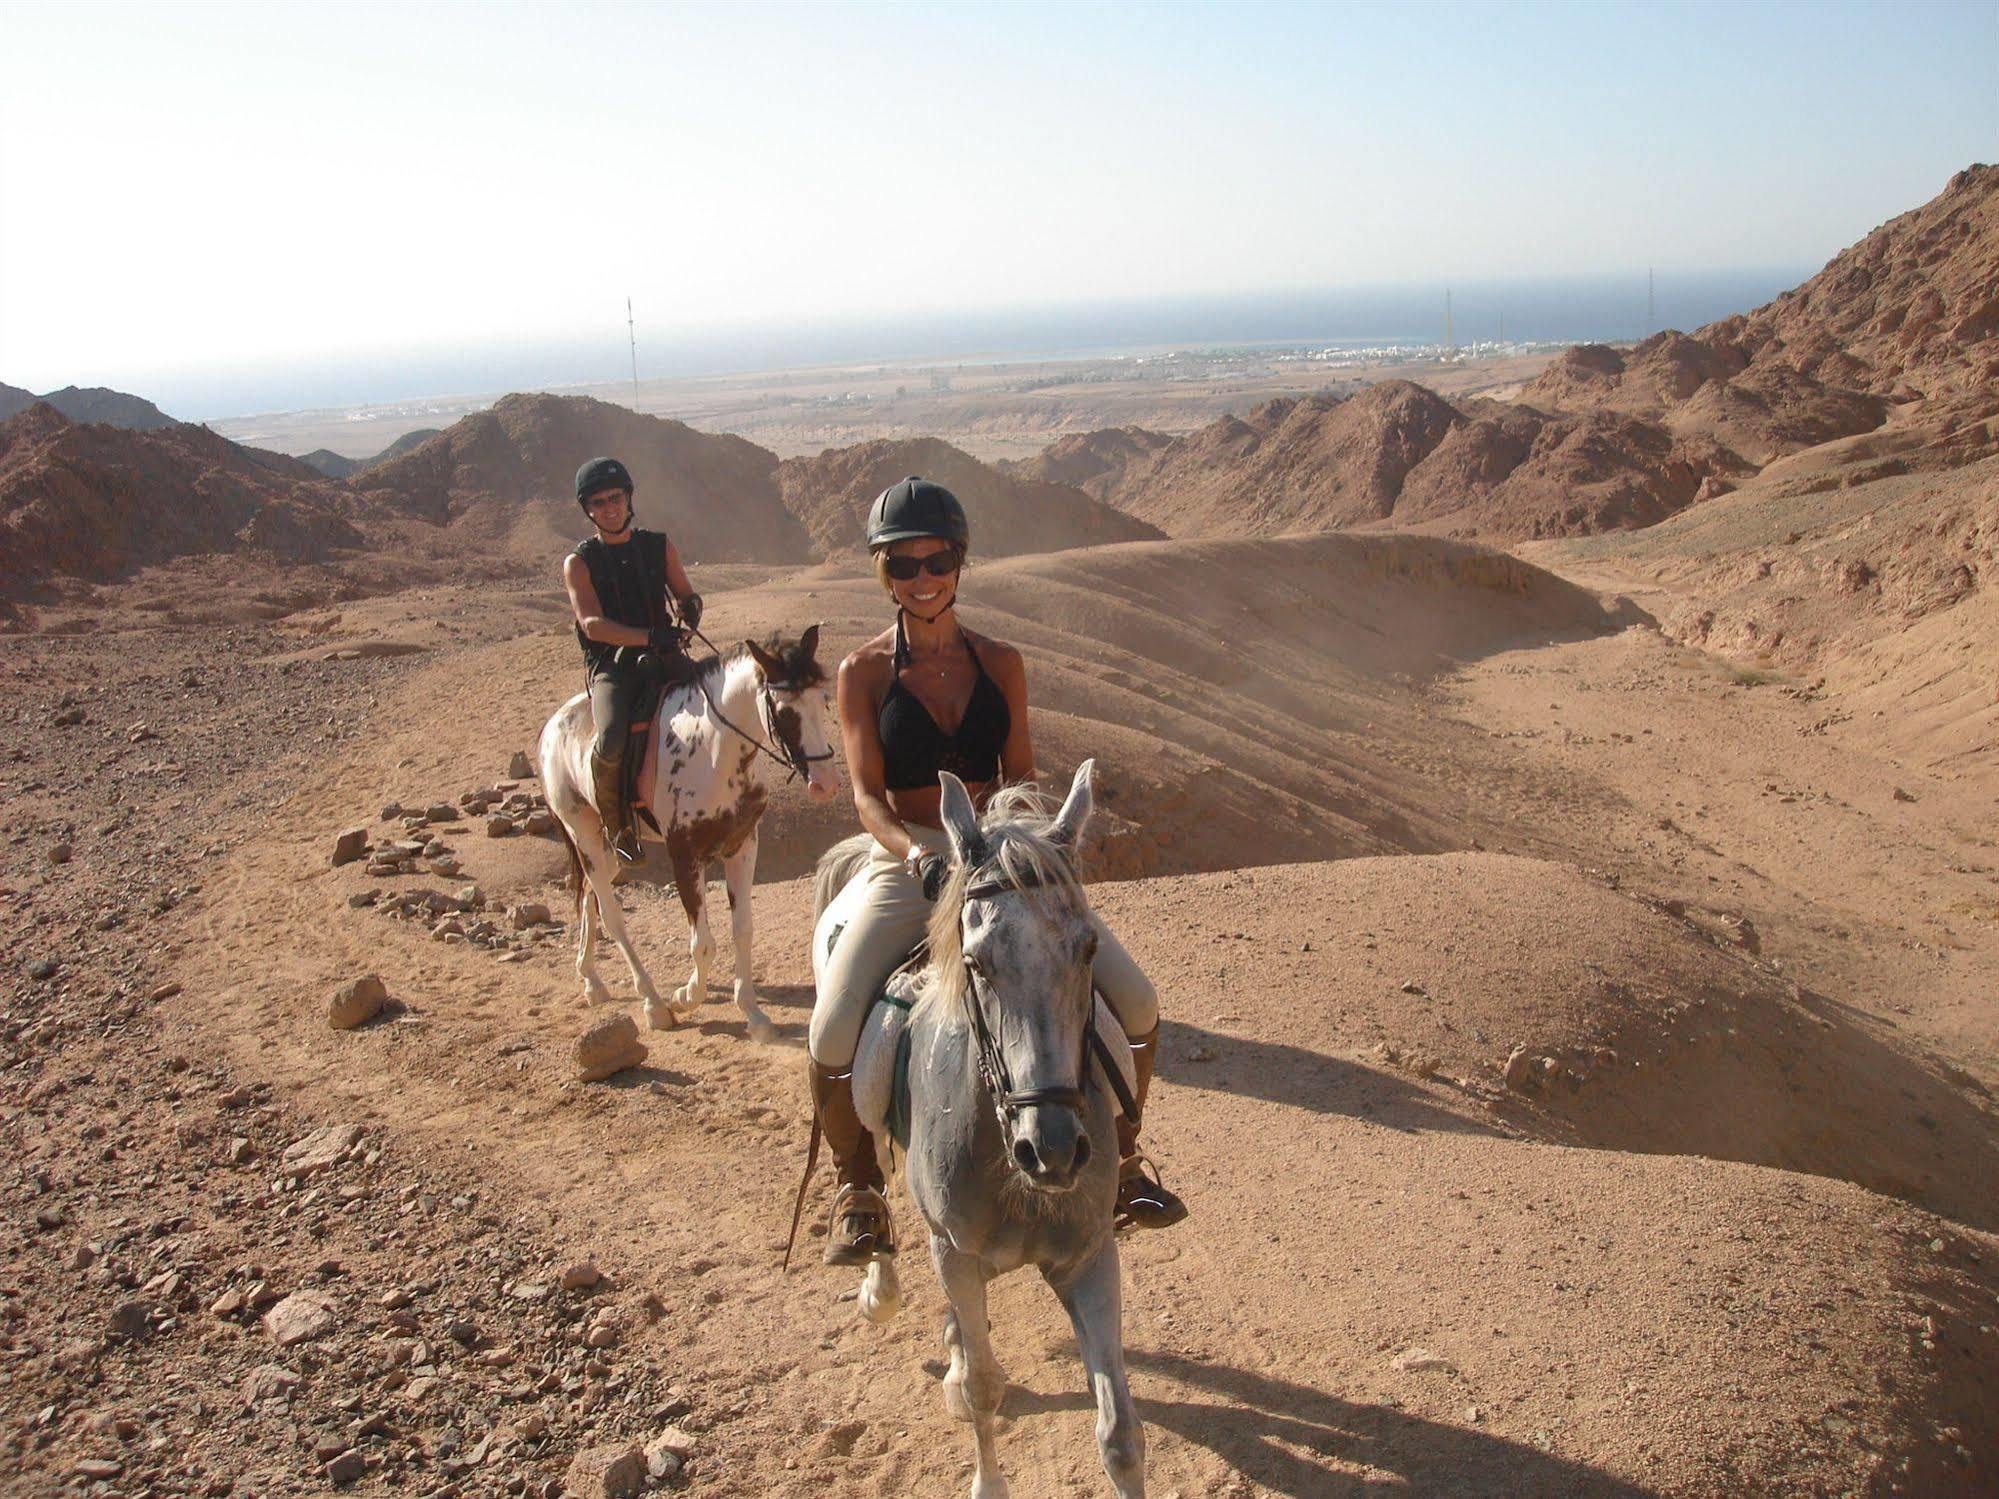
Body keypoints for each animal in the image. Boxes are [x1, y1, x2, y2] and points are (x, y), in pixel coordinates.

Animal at [535, 631, 839, 1047]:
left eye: (823, 700)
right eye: (785, 711)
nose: (825, 783)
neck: (713, 751)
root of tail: (553, 725)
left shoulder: (743, 846)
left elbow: (743, 930)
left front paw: (754, 1015)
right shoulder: (685, 857)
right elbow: (703, 943)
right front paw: (686, 997)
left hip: (610, 848)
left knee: (589, 898)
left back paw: (591, 980)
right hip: (583, 833)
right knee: (611, 914)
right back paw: (653, 1003)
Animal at [799, 767, 1143, 1499]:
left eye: (1088, 948)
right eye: (977, 962)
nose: (1053, 1150)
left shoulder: (1090, 1255)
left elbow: (1120, 1435)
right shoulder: (956, 1253)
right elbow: (985, 1389)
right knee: (868, 1171)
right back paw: (873, 1270)